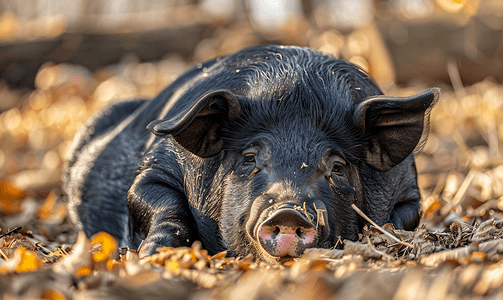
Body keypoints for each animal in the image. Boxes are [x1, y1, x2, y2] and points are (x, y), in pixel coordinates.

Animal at [65, 45, 440, 262]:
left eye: (336, 166)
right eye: (249, 159)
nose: (289, 212)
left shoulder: (408, 191)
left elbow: (397, 219)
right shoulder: (156, 168)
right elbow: (162, 204)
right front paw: (152, 255)